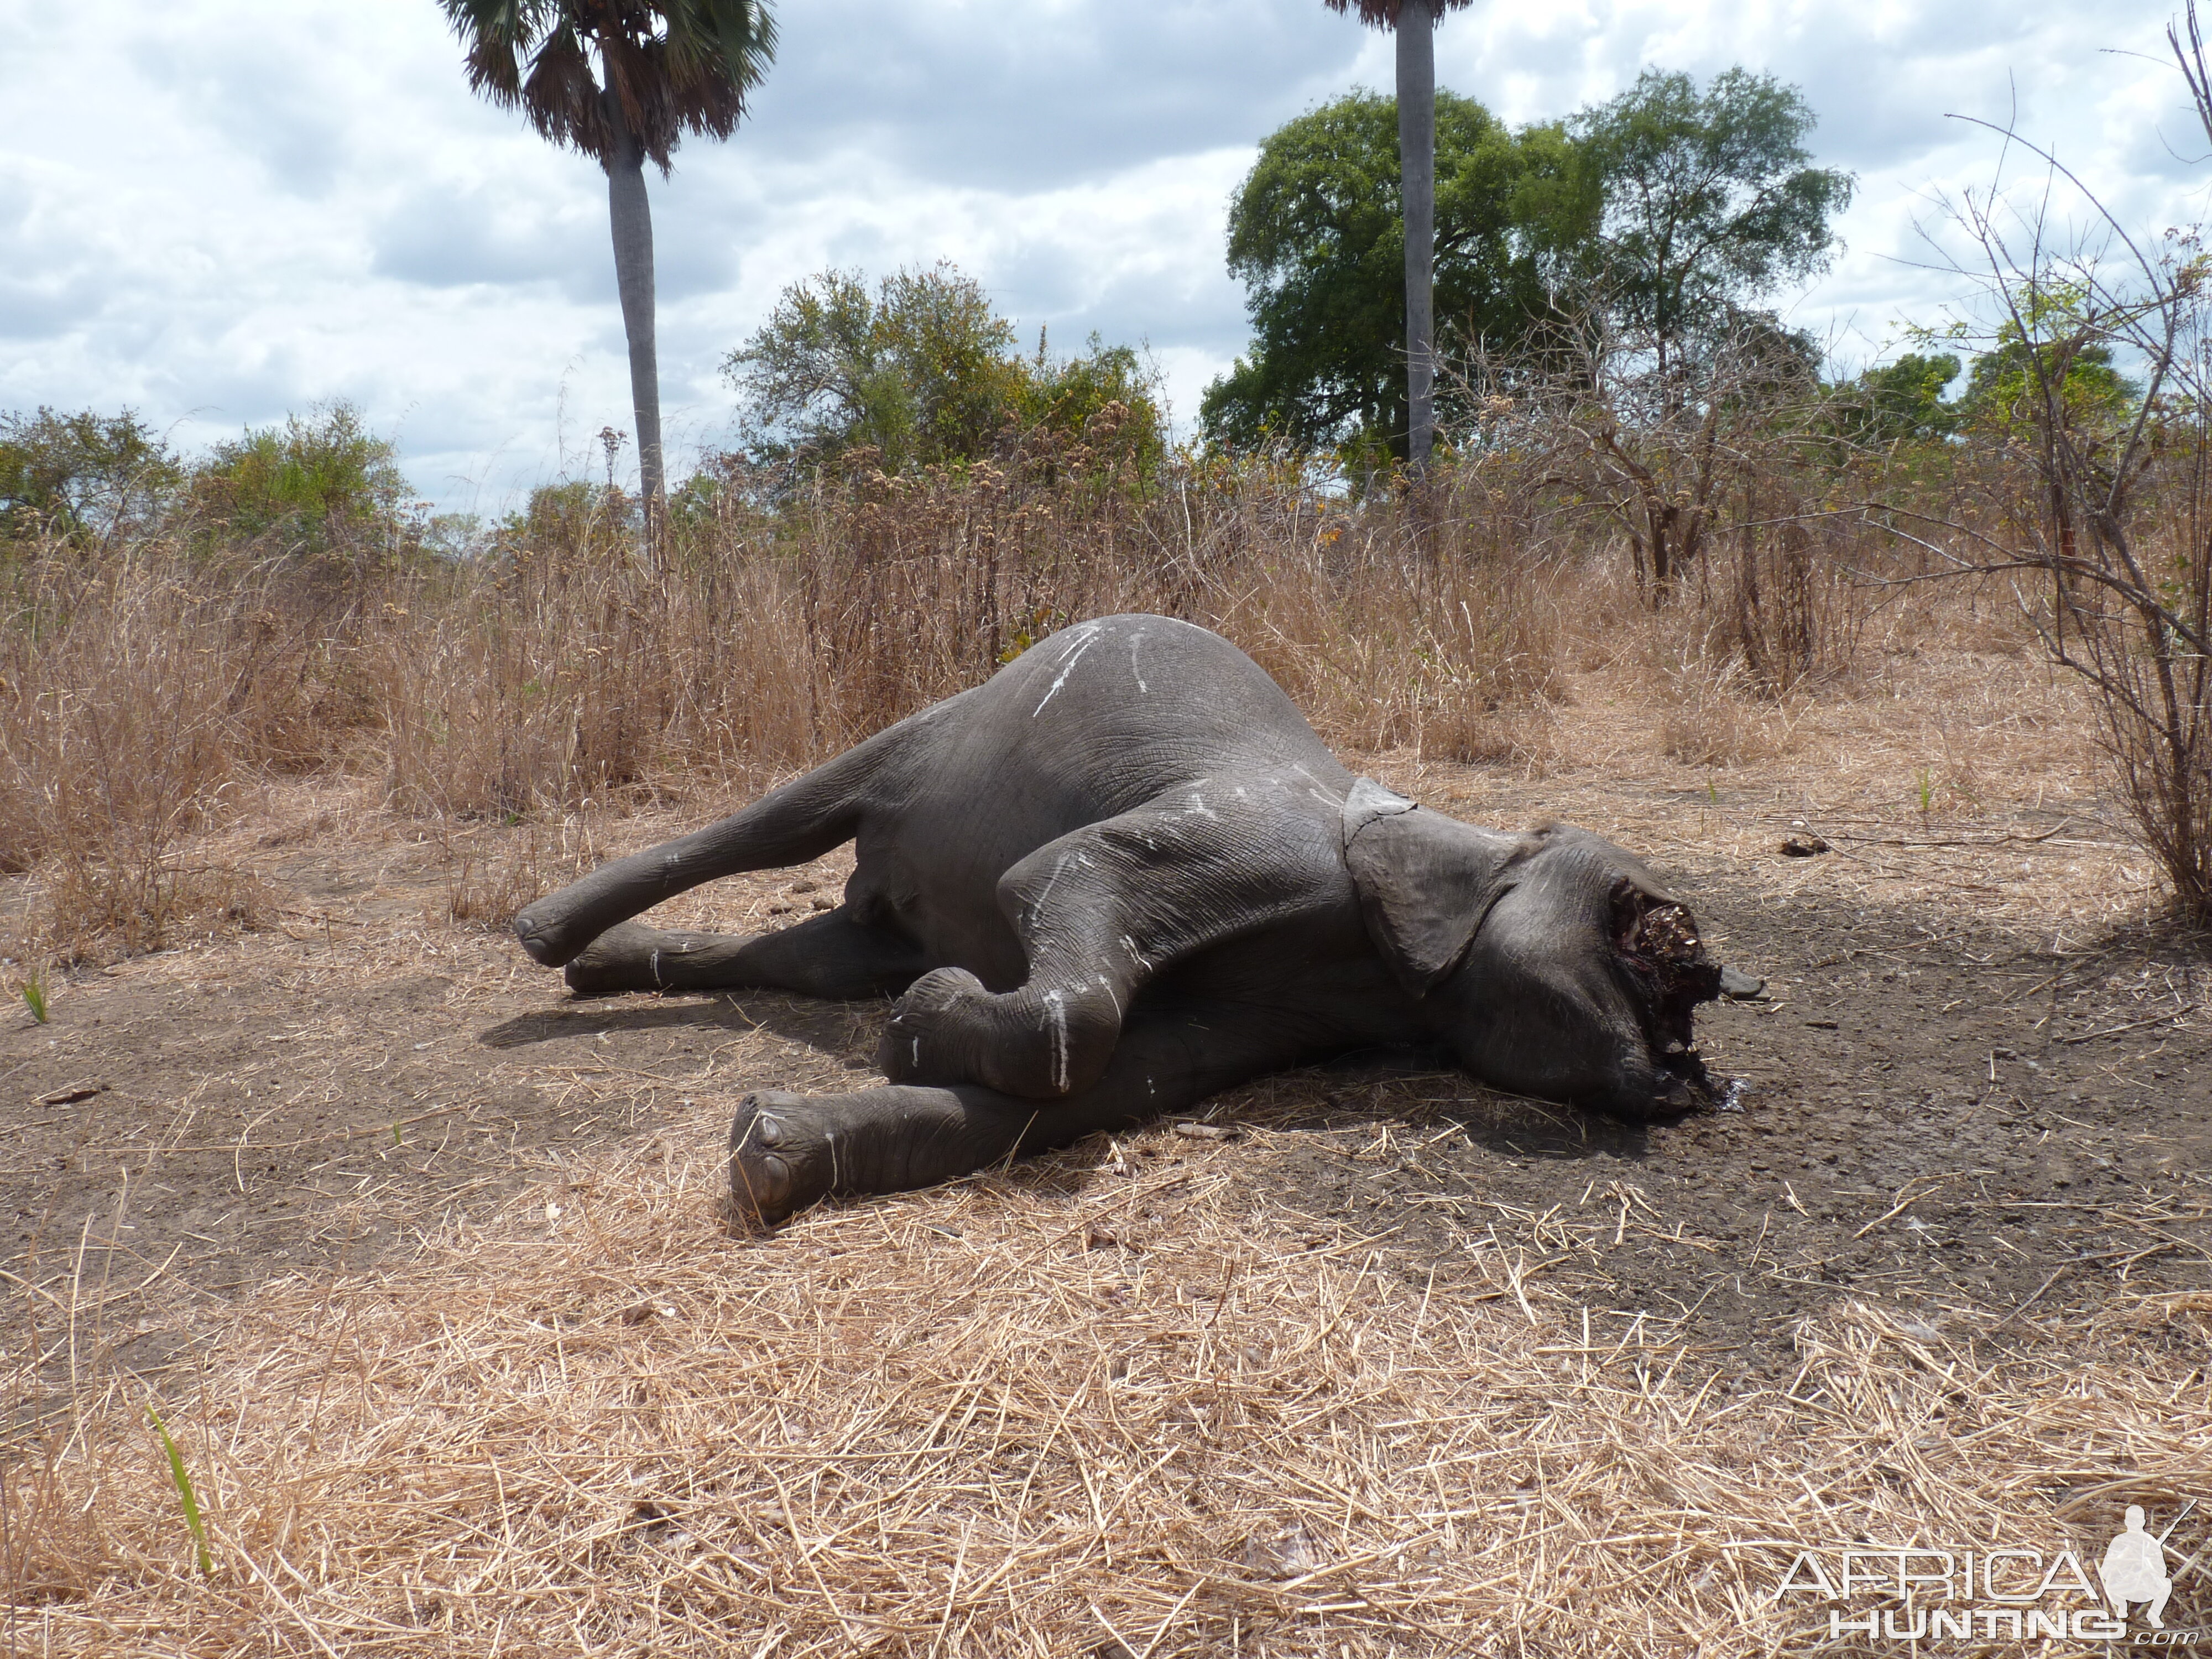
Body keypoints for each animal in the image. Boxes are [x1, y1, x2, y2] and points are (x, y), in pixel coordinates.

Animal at [513, 619, 1761, 1230]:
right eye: (1642, 922)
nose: (1704, 1069)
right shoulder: (1249, 835)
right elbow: (1059, 921)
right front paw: (924, 1021)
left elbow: (1097, 1084)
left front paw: (779, 1146)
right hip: (926, 734)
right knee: (776, 824)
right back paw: (542, 933)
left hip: (861, 926)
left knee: (805, 957)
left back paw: (605, 972)